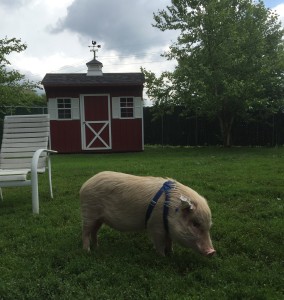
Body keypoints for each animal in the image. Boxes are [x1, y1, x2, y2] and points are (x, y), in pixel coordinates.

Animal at [80, 170, 215, 256]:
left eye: (208, 226)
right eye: (195, 224)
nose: (212, 252)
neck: (170, 209)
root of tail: (84, 186)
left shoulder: (167, 228)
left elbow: (169, 241)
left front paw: (171, 253)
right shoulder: (155, 226)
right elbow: (160, 244)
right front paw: (163, 257)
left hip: (99, 218)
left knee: (94, 231)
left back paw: (97, 247)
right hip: (89, 212)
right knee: (85, 231)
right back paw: (87, 251)